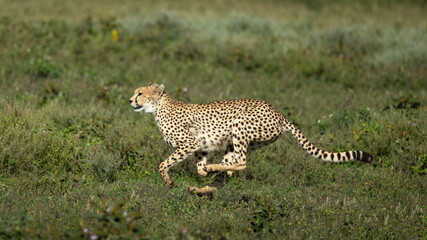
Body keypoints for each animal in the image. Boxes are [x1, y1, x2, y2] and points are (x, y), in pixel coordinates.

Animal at [129, 83, 372, 194]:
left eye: (140, 93)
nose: (130, 100)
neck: (159, 107)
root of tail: (278, 112)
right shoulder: (201, 147)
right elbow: (199, 166)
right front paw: (203, 172)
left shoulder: (190, 143)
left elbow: (164, 163)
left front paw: (168, 181)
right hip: (233, 144)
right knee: (228, 172)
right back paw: (203, 186)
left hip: (240, 126)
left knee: (242, 164)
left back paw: (211, 174)